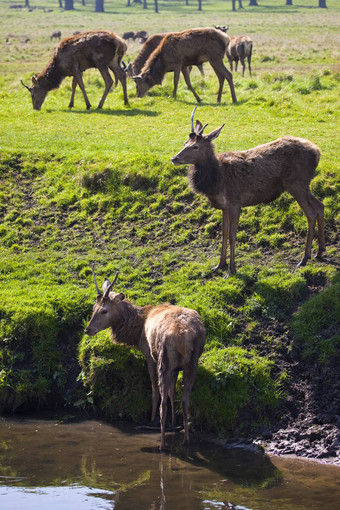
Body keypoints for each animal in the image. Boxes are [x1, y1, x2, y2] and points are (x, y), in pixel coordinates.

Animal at [84, 264, 207, 448]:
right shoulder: (176, 368)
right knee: (185, 399)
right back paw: (186, 440)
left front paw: (152, 418)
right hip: (192, 362)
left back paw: (162, 443)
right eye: (94, 308)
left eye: (104, 310)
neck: (136, 332)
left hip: (163, 358)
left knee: (162, 399)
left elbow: (155, 390)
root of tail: (184, 334)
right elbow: (172, 392)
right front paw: (174, 421)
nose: (87, 329)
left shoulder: (149, 355)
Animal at [171, 105, 326, 276]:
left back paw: (304, 258)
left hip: (296, 183)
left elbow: (232, 235)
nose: (174, 158)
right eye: (185, 143)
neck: (216, 181)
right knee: (320, 205)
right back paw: (319, 252)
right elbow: (223, 234)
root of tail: (317, 151)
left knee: (310, 213)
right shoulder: (224, 206)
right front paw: (219, 265)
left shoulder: (235, 202)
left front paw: (231, 270)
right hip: (303, 185)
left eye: (195, 146)